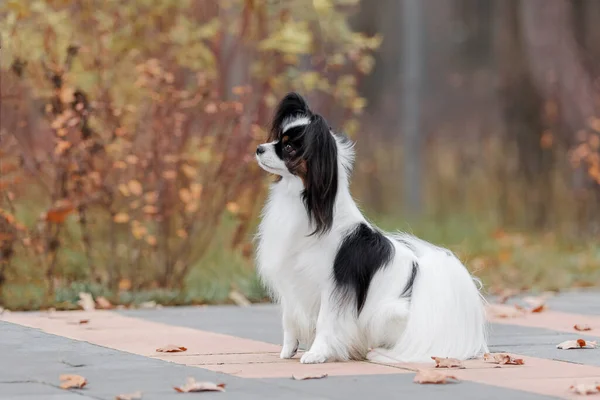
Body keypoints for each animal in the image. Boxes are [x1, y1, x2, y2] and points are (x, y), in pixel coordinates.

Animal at [253, 92, 488, 364]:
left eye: (289, 148)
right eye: (277, 138)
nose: (259, 148)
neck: (305, 202)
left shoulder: (333, 287)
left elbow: (325, 322)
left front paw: (317, 354)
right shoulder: (291, 281)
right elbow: (289, 319)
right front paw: (288, 350)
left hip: (386, 314)